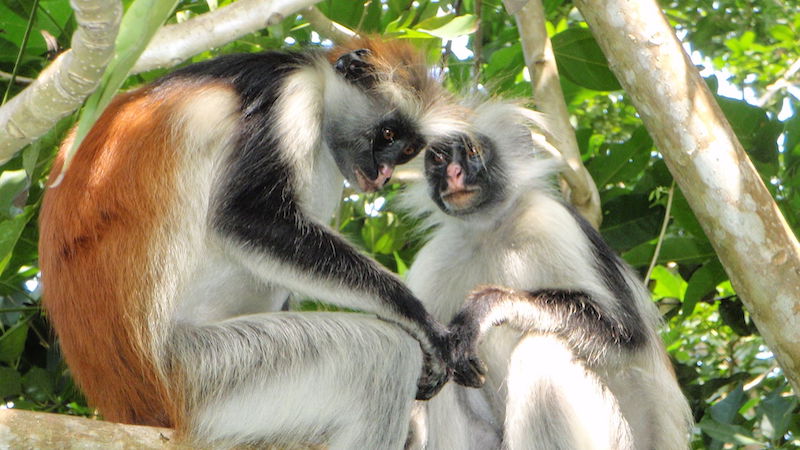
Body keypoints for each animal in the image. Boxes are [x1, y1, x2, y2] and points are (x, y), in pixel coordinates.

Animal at [40, 39, 478, 450]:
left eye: (407, 150)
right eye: (387, 134)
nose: (385, 174)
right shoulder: (290, 93)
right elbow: (247, 215)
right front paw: (422, 321)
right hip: (207, 371)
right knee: (385, 357)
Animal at [404, 102, 692, 450]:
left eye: (473, 151)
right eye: (438, 159)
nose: (453, 175)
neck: (490, 231)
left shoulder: (550, 220)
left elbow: (627, 337)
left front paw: (489, 306)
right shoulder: (435, 260)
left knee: (541, 350)